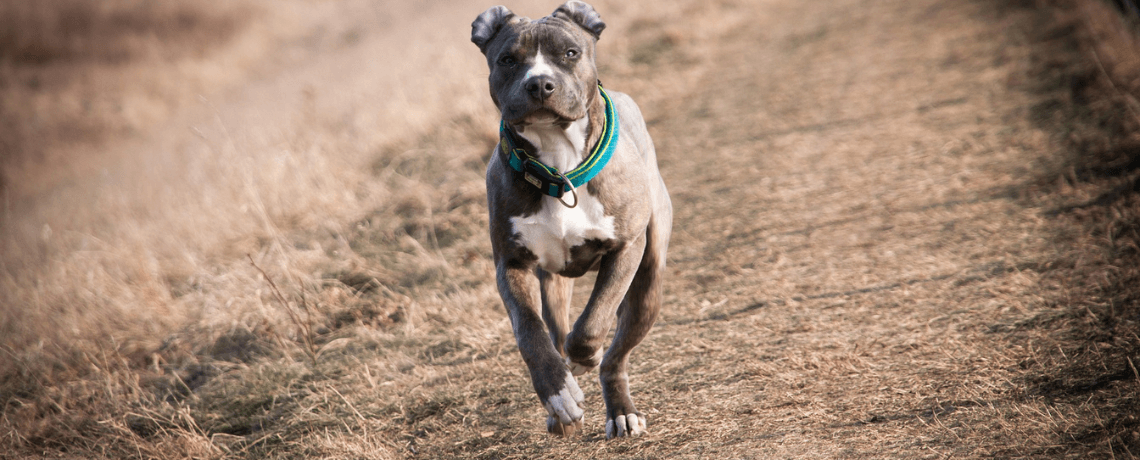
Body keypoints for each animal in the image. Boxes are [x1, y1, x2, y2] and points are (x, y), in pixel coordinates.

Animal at [469, 0, 665, 439]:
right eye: (508, 60)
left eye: (570, 53)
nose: (540, 84)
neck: (558, 165)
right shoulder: (511, 265)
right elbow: (530, 334)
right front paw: (559, 394)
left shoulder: (626, 249)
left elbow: (594, 321)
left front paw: (583, 358)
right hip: (554, 286)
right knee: (555, 331)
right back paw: (561, 406)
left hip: (648, 285)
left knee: (615, 356)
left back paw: (620, 410)